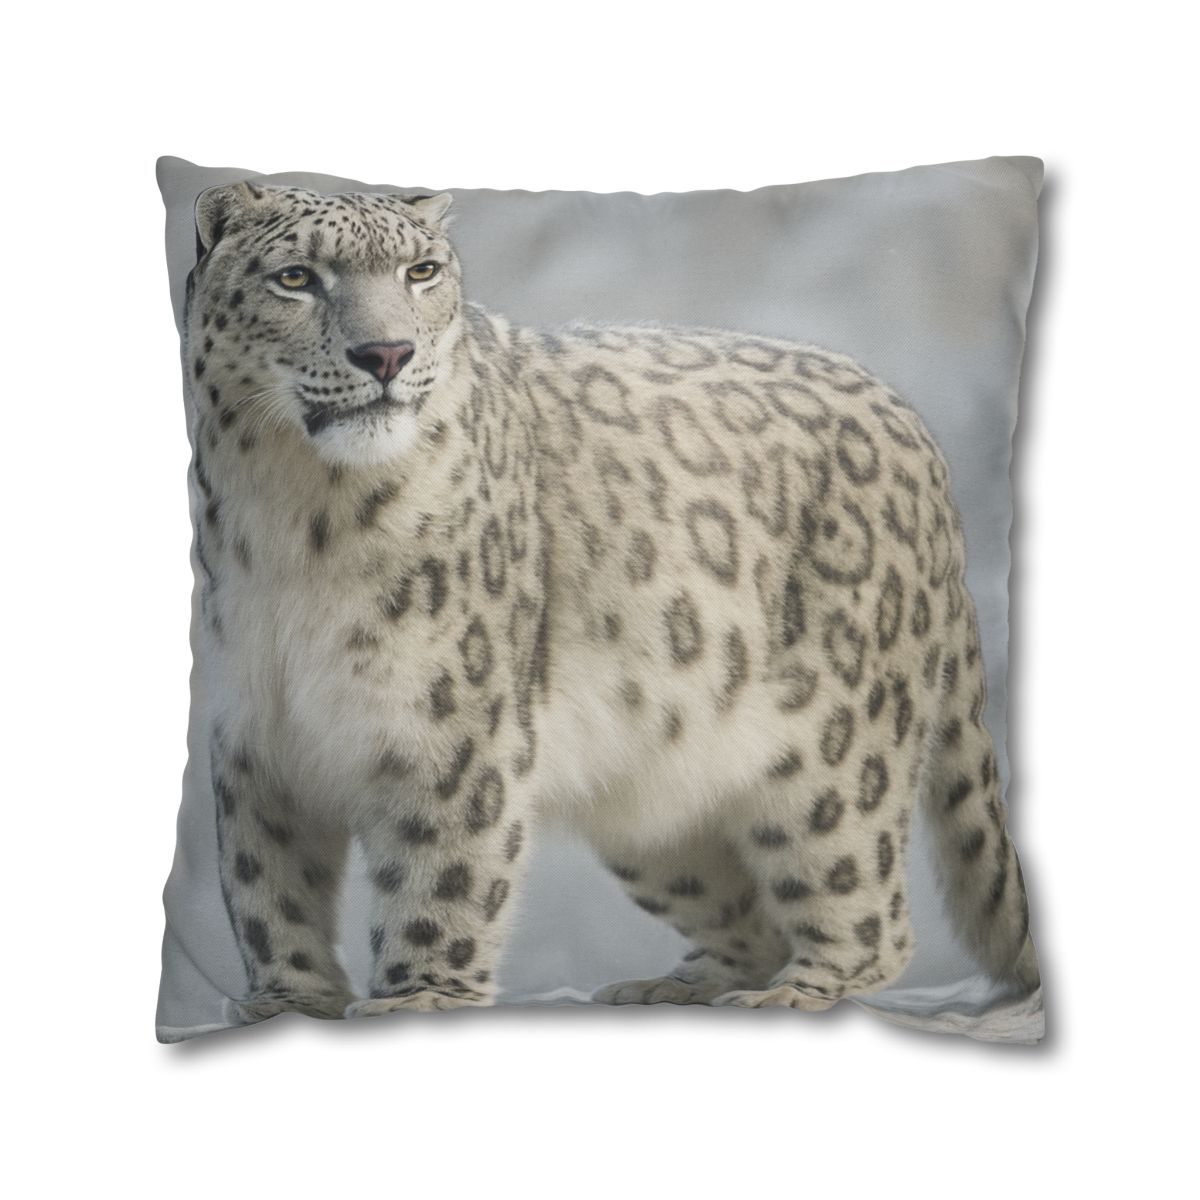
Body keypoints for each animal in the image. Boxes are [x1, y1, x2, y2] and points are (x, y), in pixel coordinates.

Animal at [184, 181, 1039, 1024]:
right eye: (296, 277)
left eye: (420, 272)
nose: (387, 353)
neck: (295, 515)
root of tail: (912, 424)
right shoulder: (255, 737)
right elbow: (266, 886)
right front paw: (289, 1001)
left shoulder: (449, 726)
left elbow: (441, 871)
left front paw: (419, 997)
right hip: (654, 809)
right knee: (746, 912)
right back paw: (678, 985)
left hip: (838, 756)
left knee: (864, 907)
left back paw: (795, 992)